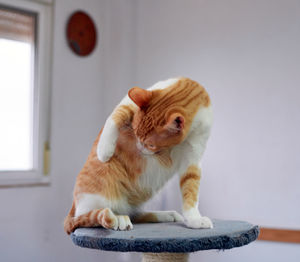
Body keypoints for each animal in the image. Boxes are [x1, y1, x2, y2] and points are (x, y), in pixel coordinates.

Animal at [63, 76, 213, 233]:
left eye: (151, 145)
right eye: (134, 132)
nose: (139, 148)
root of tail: (74, 205)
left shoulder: (192, 157)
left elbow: (191, 188)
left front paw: (194, 219)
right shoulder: (128, 103)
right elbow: (115, 116)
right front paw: (104, 150)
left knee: (135, 214)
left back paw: (166, 214)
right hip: (100, 196)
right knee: (89, 216)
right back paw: (118, 218)